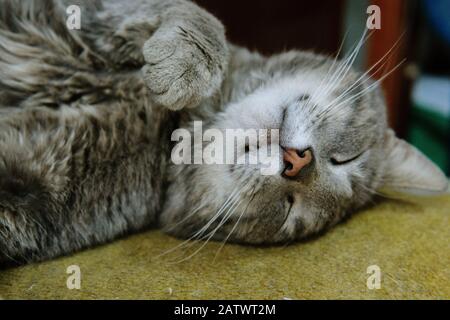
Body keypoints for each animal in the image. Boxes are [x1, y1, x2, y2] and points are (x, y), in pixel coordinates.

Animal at [0, 0, 448, 264]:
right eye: (346, 157)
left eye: (289, 210)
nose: (298, 163)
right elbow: (194, 17)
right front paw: (185, 64)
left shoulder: (34, 190)